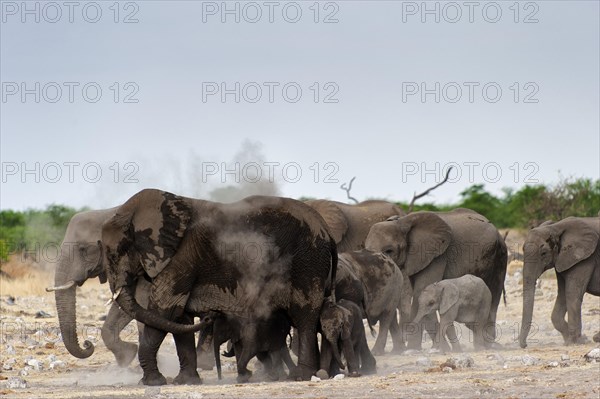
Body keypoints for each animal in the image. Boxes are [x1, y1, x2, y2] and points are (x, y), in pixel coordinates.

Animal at [102, 189, 338, 386]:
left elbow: (165, 310)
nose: (210, 316)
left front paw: (152, 382)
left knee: (304, 316)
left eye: (119, 251)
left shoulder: (180, 259)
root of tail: (327, 231)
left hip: (307, 262)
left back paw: (301, 376)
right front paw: (185, 382)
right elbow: (180, 318)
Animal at [366, 209, 506, 350]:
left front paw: (414, 349)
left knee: (494, 297)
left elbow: (420, 292)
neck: (401, 221)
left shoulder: (437, 255)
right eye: (365, 251)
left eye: (389, 250)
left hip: (499, 256)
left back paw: (490, 343)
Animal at [516, 217, 596, 348]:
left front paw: (575, 342)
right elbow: (562, 294)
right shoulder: (563, 259)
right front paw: (575, 340)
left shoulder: (585, 258)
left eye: (543, 253)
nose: (525, 345)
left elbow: (572, 294)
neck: (555, 227)